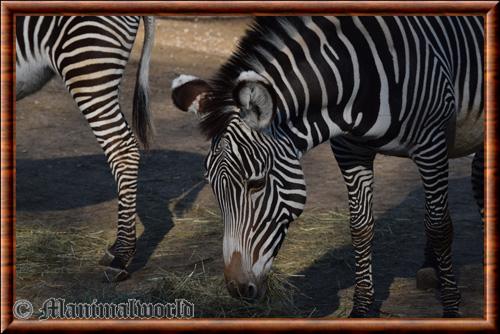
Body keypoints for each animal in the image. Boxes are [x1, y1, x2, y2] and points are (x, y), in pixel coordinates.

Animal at [170, 15, 482, 318]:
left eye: (256, 183)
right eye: (213, 188)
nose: (237, 289)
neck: (358, 75)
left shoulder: (431, 145)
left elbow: (440, 227)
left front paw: (452, 308)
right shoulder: (350, 151)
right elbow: (360, 227)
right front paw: (361, 308)